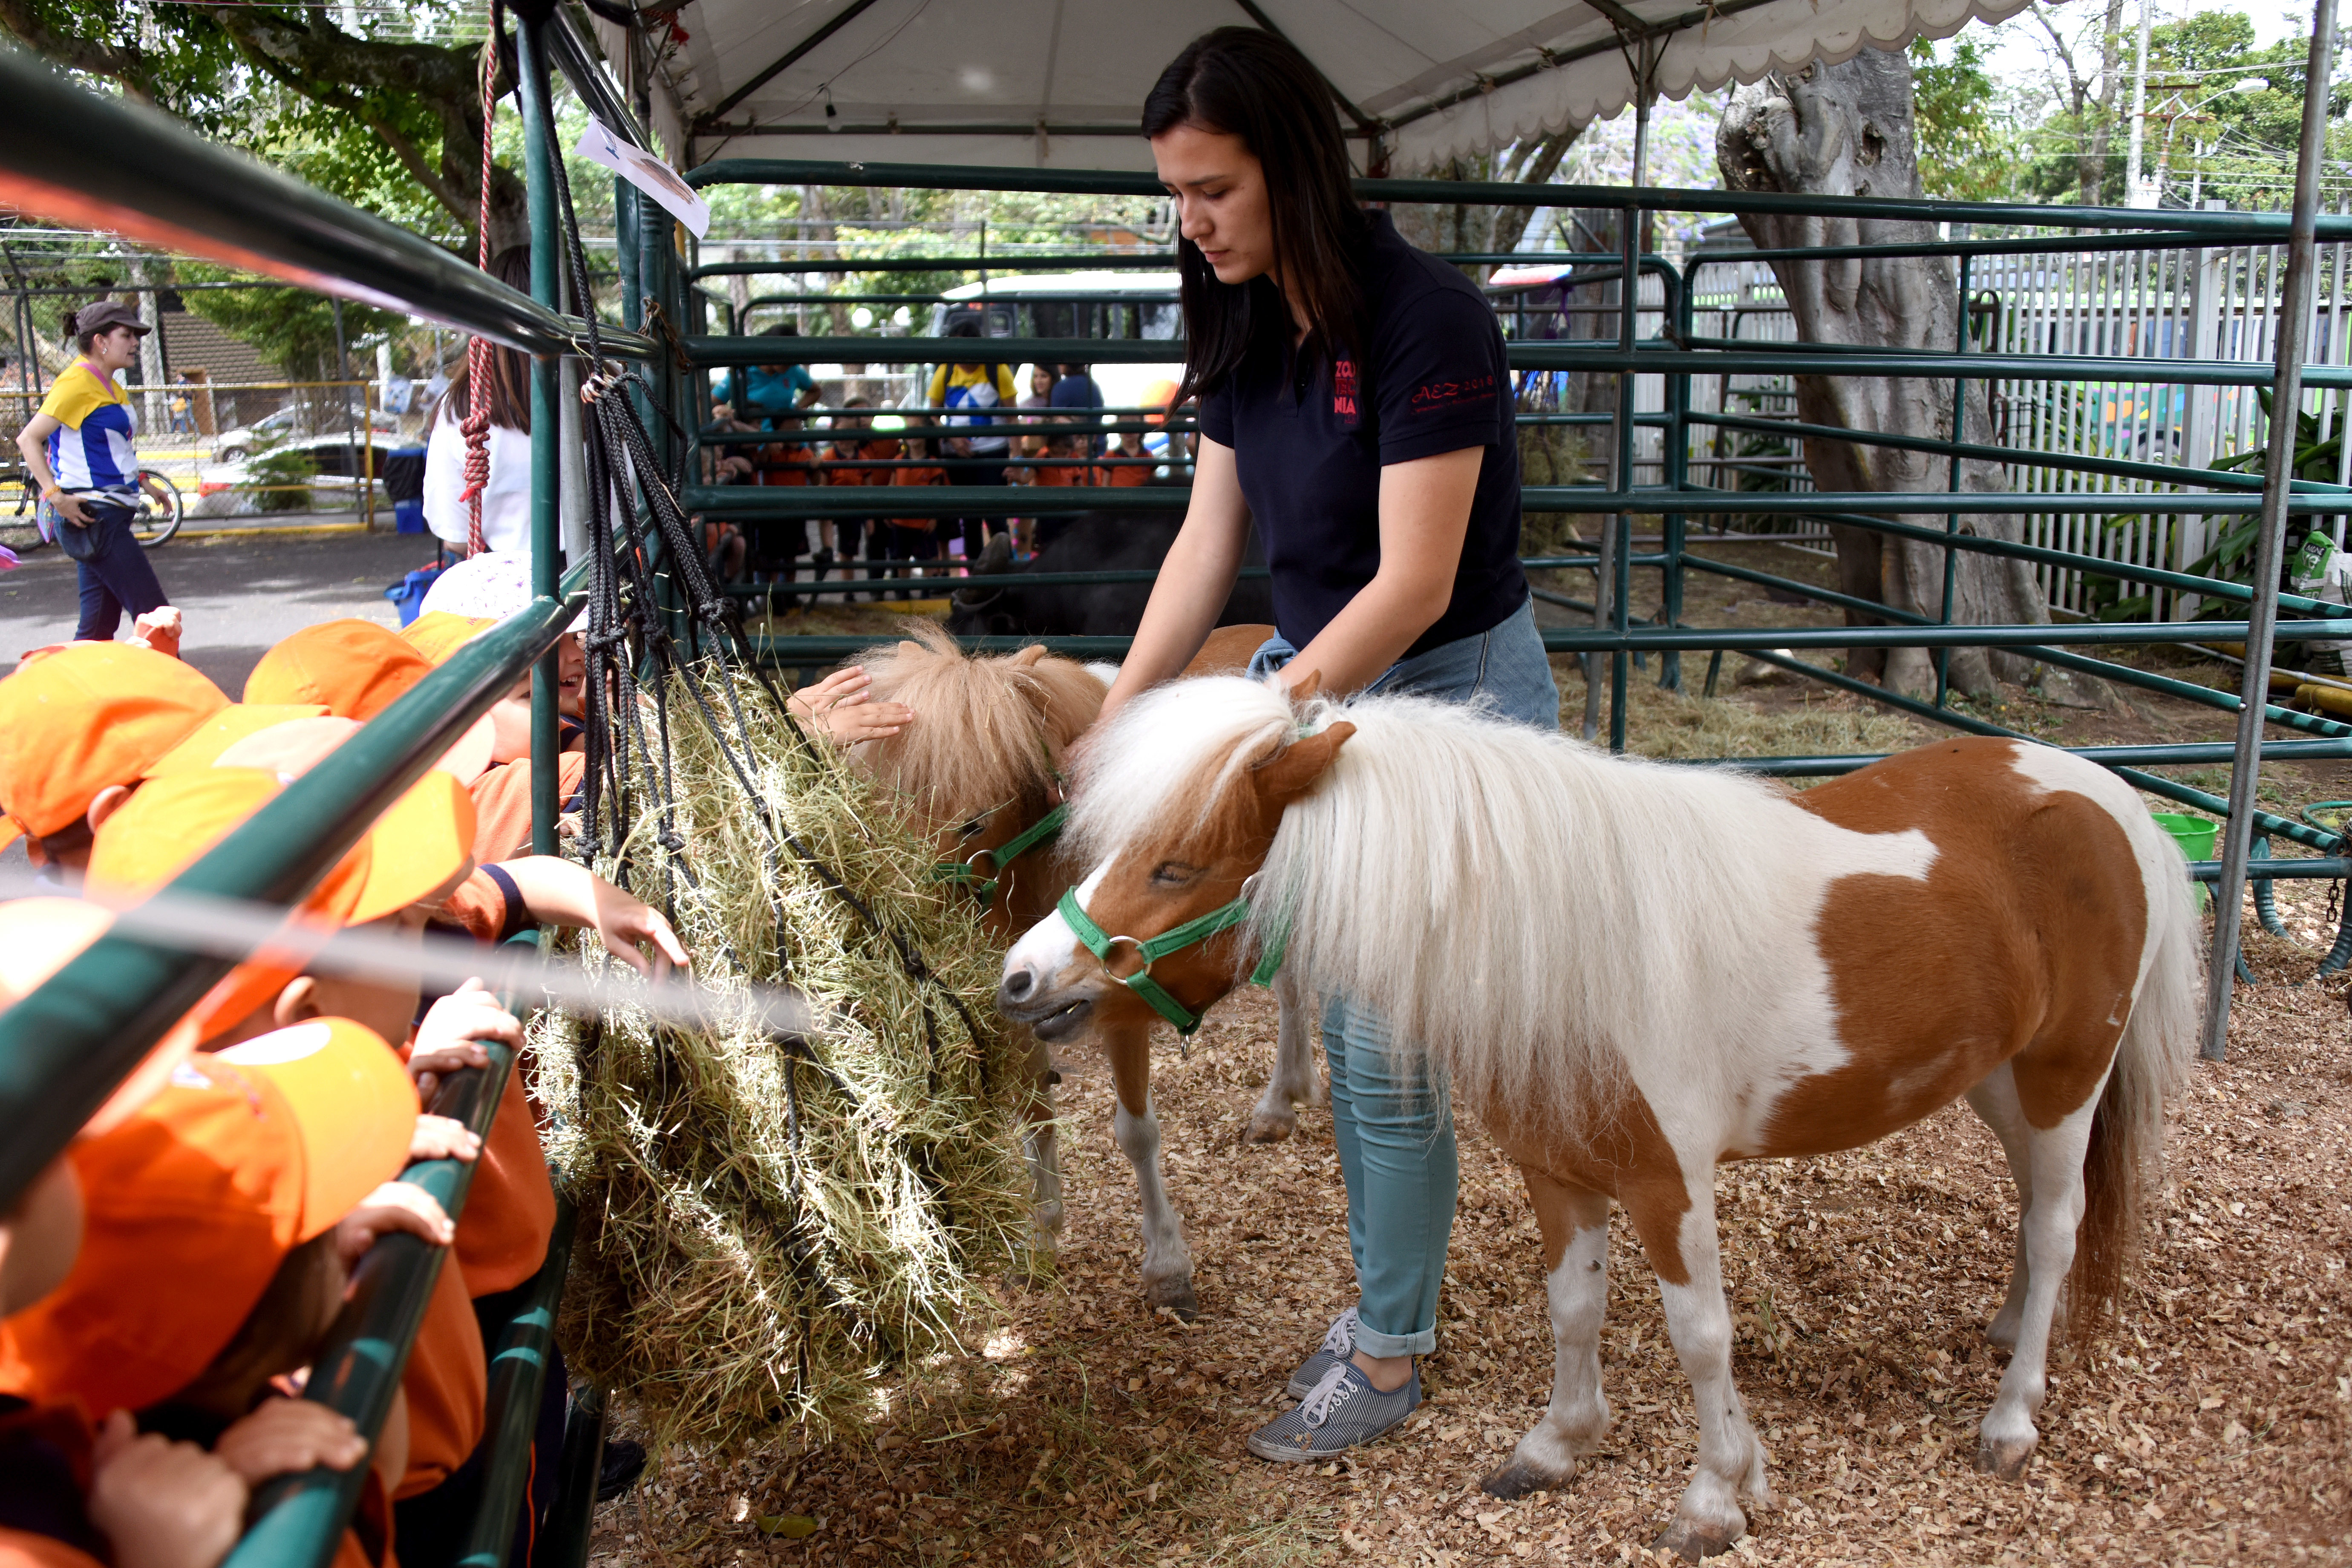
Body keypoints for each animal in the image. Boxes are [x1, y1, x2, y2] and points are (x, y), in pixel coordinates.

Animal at [847, 620, 1326, 1316]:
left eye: (972, 820)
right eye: (882, 799)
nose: (908, 928)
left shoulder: (1121, 1001)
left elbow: (1136, 1131)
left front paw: (1167, 1268)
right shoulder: (1020, 998)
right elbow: (1032, 1107)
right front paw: (1041, 1236)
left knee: (1292, 990)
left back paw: (1281, 1101)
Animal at [997, 682, 2201, 1561]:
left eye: (1177, 864)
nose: (1021, 978)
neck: (1567, 938)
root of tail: (2109, 796)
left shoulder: (1670, 1184)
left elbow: (1700, 1336)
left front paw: (1716, 1496)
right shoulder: (1559, 1169)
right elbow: (1572, 1308)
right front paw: (1555, 1446)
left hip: (2066, 1075)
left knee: (2057, 1227)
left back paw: (2010, 1418)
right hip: (2000, 1080)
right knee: (2033, 1214)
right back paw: (2003, 1330)